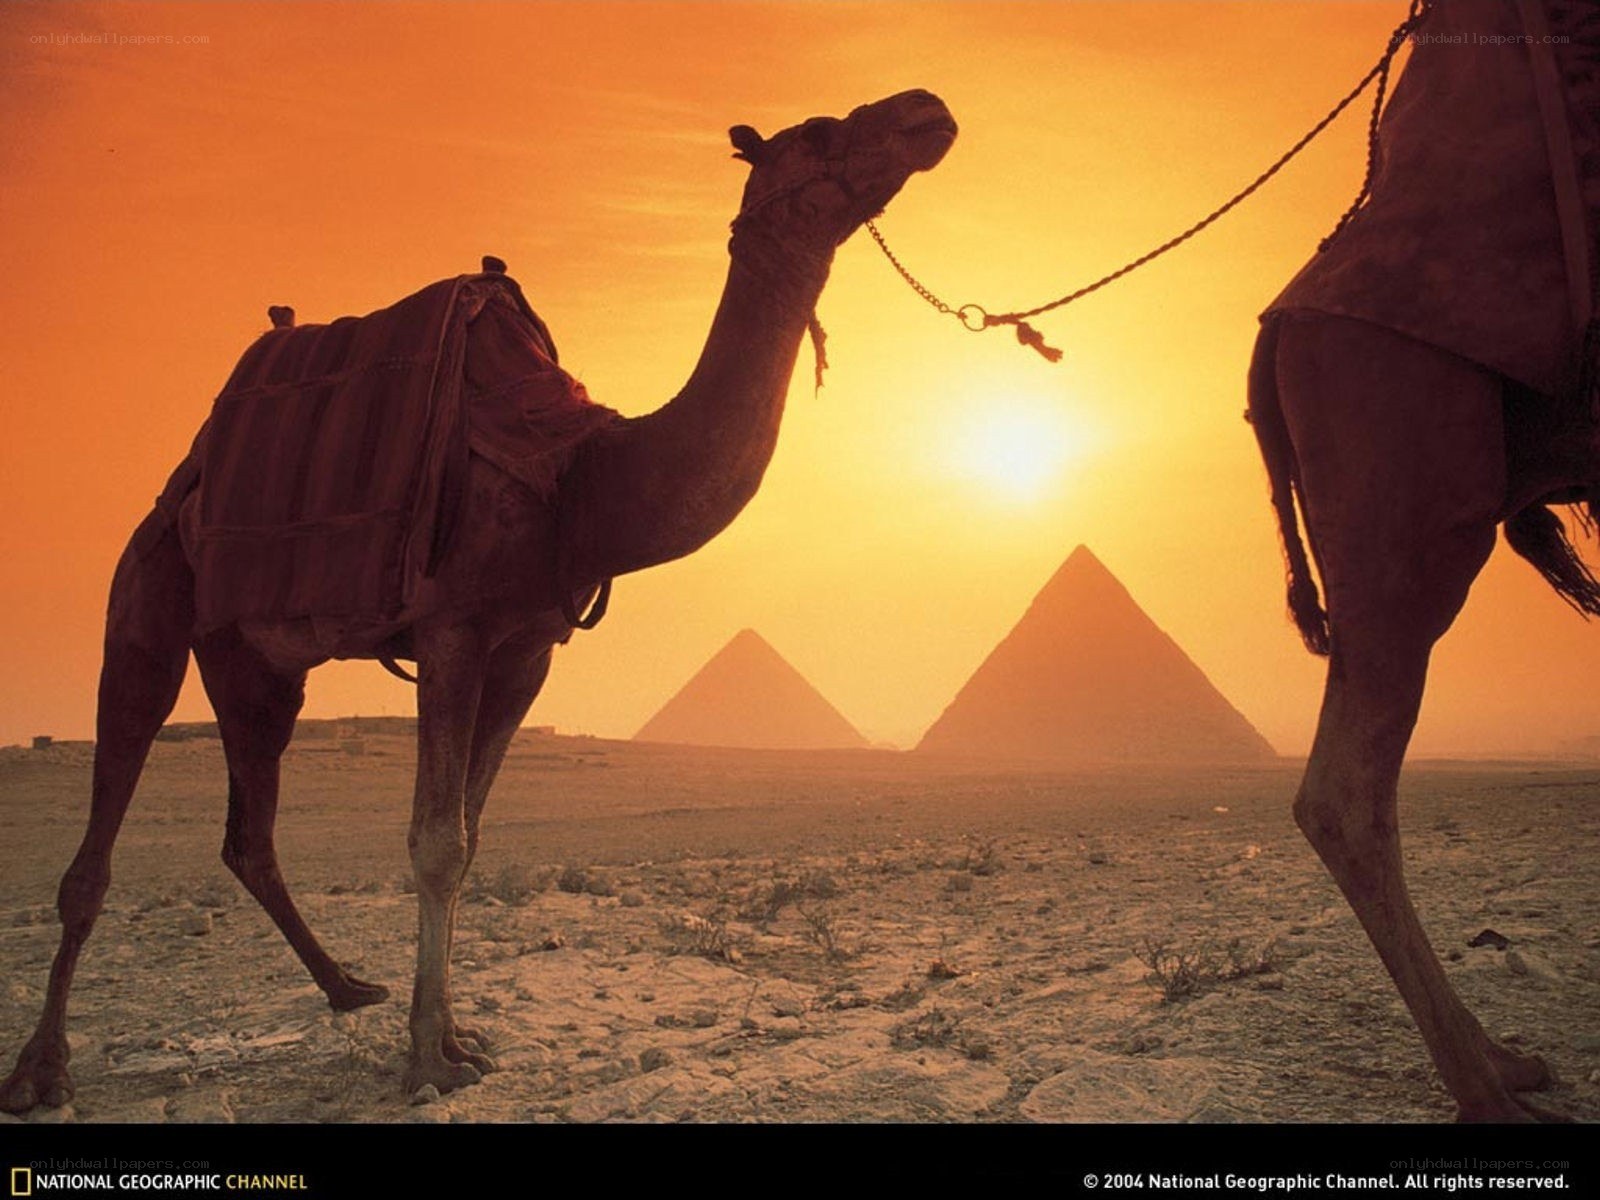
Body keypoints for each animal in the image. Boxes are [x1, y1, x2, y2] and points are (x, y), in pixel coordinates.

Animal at [0, 88, 957, 1111]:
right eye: (819, 131)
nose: (926, 109)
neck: (580, 474)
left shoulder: (527, 649)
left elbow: (471, 829)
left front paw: (457, 1034)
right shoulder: (452, 629)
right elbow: (436, 840)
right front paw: (430, 1060)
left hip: (254, 660)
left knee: (249, 832)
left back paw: (348, 986)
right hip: (149, 591)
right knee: (106, 815)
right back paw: (42, 1068)